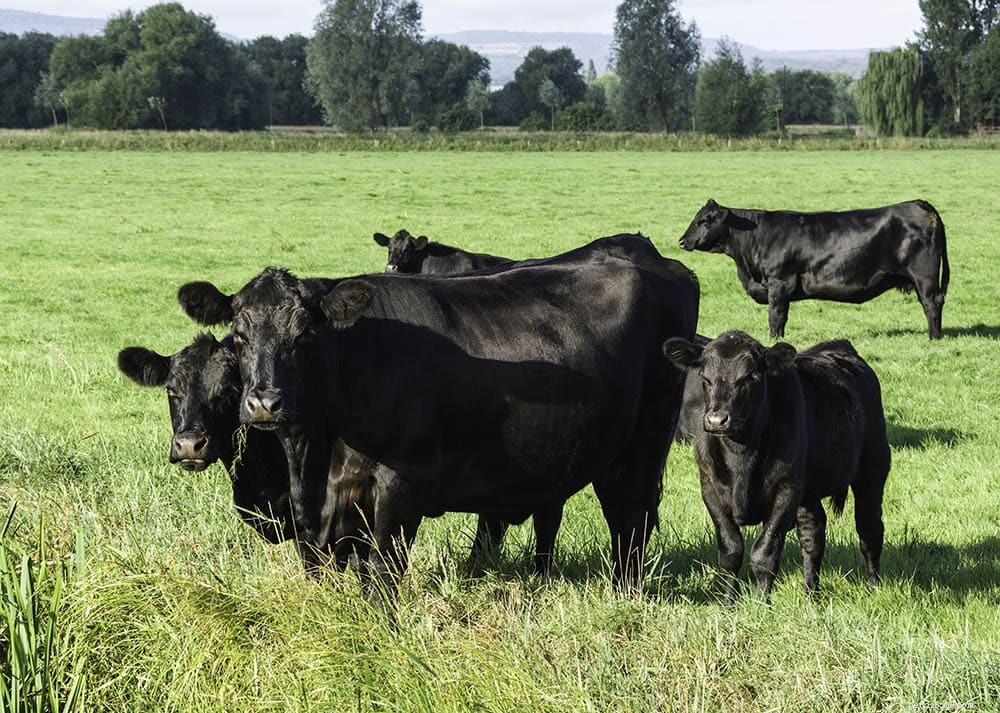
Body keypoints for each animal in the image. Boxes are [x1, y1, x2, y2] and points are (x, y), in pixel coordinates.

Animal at [179, 233, 700, 598]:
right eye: (240, 335)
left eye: (305, 335)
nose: (264, 403)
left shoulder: (400, 486)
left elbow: (381, 577)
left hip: (645, 439)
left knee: (628, 518)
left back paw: (624, 597)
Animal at [664, 331, 890, 600]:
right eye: (704, 377)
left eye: (750, 376)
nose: (717, 420)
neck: (741, 457)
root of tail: (840, 347)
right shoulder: (709, 488)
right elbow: (730, 551)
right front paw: (727, 602)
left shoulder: (786, 490)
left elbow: (764, 554)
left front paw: (761, 604)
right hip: (809, 490)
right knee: (813, 533)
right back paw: (811, 594)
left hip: (873, 468)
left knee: (869, 528)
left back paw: (874, 586)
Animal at [678, 199, 949, 339]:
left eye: (705, 220)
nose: (681, 241)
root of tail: (920, 204)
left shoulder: (779, 282)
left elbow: (776, 316)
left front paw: (773, 340)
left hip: (925, 277)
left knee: (932, 303)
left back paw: (934, 337)